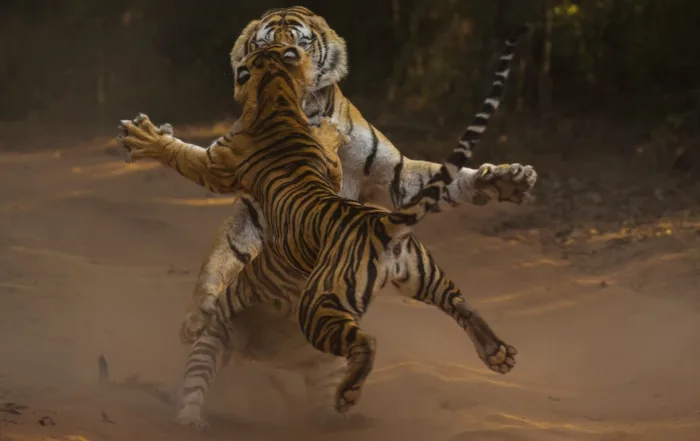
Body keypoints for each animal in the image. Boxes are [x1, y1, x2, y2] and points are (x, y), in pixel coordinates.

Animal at [118, 38, 525, 429]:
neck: (277, 90)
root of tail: (379, 225)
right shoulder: (329, 168)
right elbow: (331, 156)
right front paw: (330, 130)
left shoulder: (218, 163)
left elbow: (183, 155)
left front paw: (145, 136)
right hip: (420, 275)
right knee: (459, 303)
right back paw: (498, 353)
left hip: (317, 306)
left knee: (365, 343)